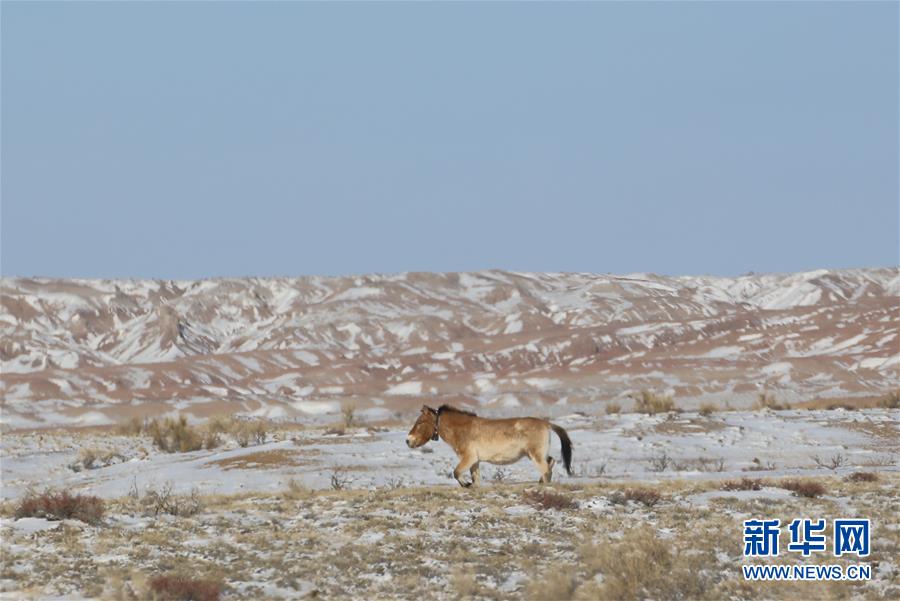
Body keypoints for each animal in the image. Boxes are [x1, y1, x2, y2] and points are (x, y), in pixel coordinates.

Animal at [406, 406, 572, 486]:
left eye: (420, 422)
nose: (408, 440)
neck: (463, 429)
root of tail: (546, 423)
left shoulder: (468, 458)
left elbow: (456, 472)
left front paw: (466, 484)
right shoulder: (475, 461)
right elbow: (475, 479)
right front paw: (471, 485)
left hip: (535, 455)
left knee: (546, 470)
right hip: (537, 454)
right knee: (550, 462)